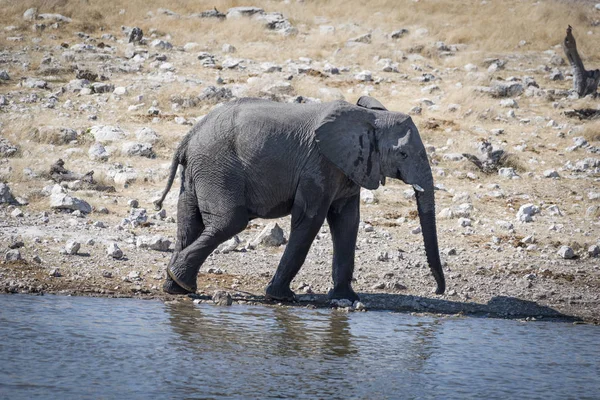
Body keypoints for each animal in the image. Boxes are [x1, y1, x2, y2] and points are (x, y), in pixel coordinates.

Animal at [155, 97, 446, 302]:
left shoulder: (350, 166)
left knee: (188, 223)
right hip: (218, 168)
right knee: (230, 222)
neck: (371, 117)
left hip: (198, 172)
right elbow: (311, 219)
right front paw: (282, 297)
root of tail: (189, 136)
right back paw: (181, 282)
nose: (438, 290)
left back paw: (175, 287)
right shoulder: (319, 164)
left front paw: (346, 299)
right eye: (403, 154)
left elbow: (347, 222)